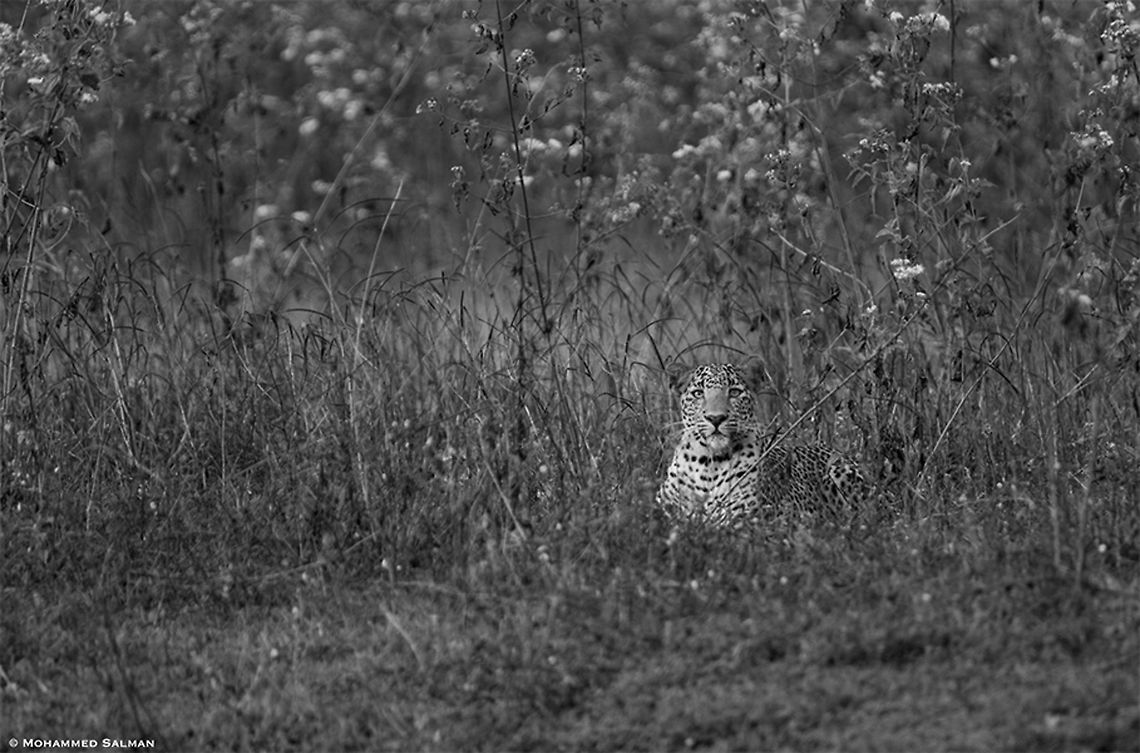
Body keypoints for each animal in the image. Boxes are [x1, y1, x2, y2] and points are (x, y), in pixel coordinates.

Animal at [656, 363, 865, 531]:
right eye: (698, 393)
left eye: (734, 392)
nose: (716, 418)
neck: (708, 463)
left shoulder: (746, 521)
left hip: (840, 472)